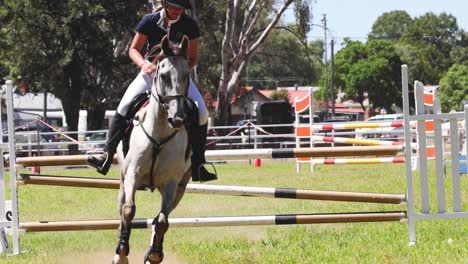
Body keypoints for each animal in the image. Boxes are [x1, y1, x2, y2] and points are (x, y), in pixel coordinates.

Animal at [113, 35, 192, 264]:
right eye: (164, 76)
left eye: (187, 76)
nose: (177, 119)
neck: (159, 131)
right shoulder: (133, 174)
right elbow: (128, 211)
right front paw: (122, 251)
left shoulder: (171, 183)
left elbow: (163, 221)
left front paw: (155, 254)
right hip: (123, 182)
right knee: (121, 213)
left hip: (180, 188)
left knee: (160, 219)